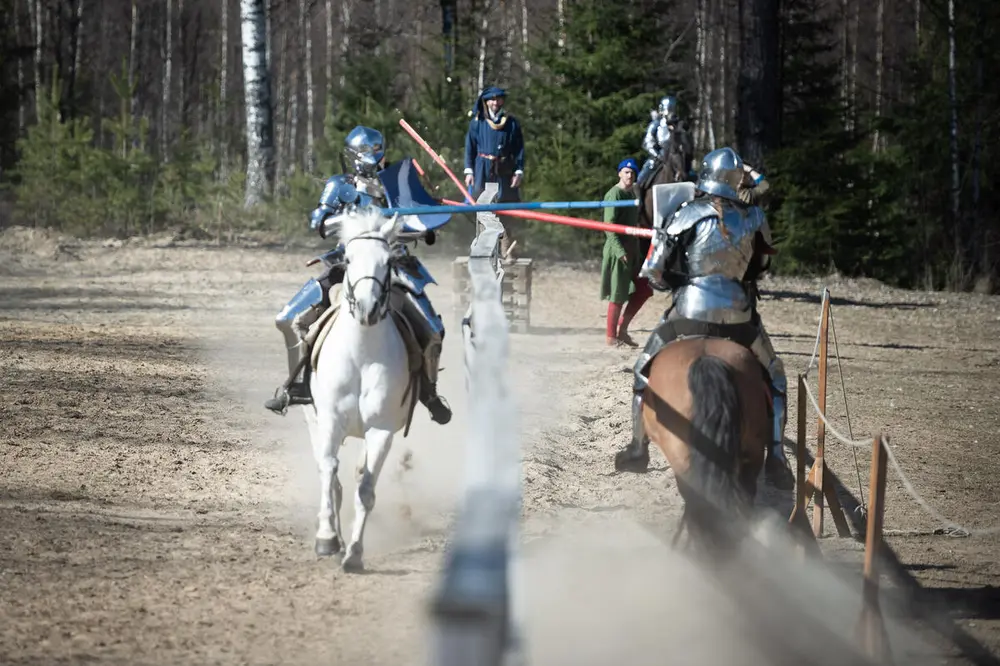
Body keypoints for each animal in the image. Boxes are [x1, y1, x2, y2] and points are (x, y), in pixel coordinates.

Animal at [306, 209, 412, 572]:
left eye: (388, 262)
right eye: (349, 259)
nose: (367, 308)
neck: (362, 354)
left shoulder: (380, 431)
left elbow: (365, 489)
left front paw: (354, 552)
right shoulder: (329, 421)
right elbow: (328, 472)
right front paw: (326, 538)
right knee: (331, 475)